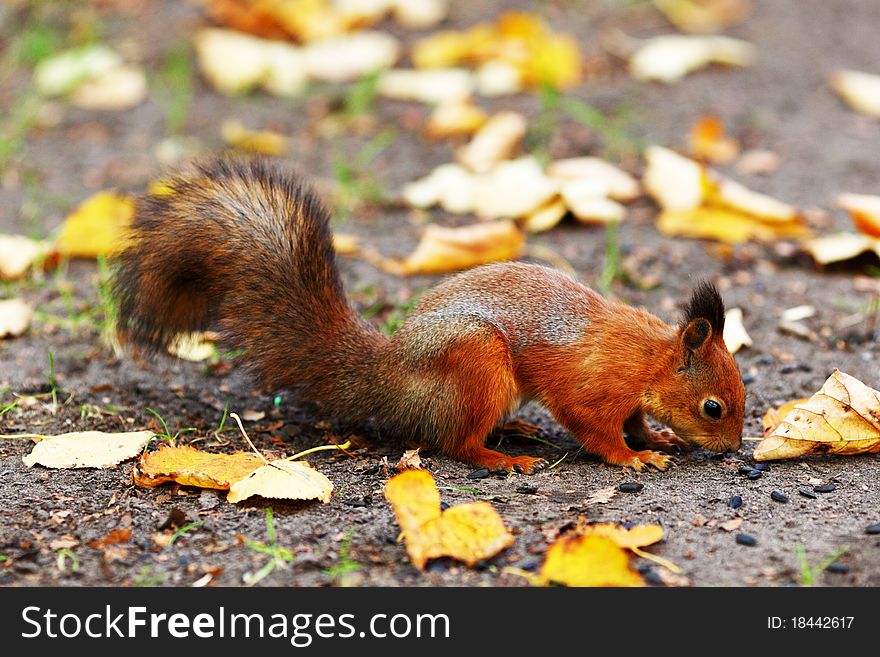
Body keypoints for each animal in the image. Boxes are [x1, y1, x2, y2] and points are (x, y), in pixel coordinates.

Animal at [110, 158, 744, 472]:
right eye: (713, 407)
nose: (733, 450)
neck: (650, 357)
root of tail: (387, 377)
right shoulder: (596, 386)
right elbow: (595, 428)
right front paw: (633, 457)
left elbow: (634, 420)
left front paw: (656, 437)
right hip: (477, 361)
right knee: (454, 443)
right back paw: (502, 458)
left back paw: (514, 429)